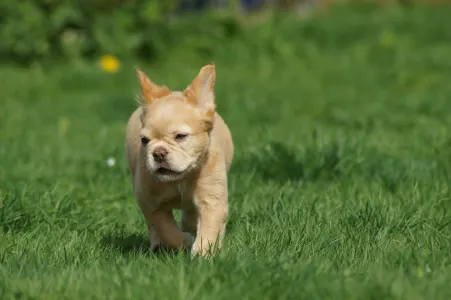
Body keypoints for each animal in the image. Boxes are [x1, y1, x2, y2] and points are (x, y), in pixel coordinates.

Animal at [125, 64, 235, 256]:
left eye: (180, 136)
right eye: (144, 140)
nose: (158, 153)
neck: (179, 180)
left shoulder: (212, 199)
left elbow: (210, 226)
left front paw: (203, 253)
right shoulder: (150, 203)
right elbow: (166, 229)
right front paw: (185, 242)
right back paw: (157, 244)